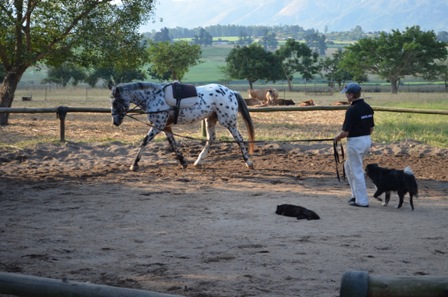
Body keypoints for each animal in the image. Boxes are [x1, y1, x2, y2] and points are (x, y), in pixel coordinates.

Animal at [109, 82, 256, 171]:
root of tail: (231, 92)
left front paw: (134, 165)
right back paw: (198, 161)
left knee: (239, 139)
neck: (154, 97)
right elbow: (173, 144)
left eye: (116, 102)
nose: (115, 122)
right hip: (210, 120)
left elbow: (144, 142)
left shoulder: (158, 125)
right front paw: (183, 162)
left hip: (228, 121)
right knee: (211, 139)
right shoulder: (166, 127)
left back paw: (248, 163)